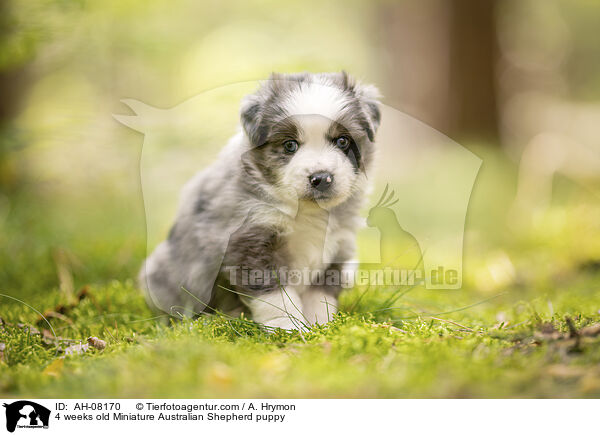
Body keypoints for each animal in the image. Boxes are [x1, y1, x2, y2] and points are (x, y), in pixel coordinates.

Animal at [139, 72, 380, 330]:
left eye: (342, 141)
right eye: (289, 145)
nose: (321, 178)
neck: (306, 212)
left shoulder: (338, 245)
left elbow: (320, 294)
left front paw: (321, 325)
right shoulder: (248, 241)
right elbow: (275, 295)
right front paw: (287, 327)